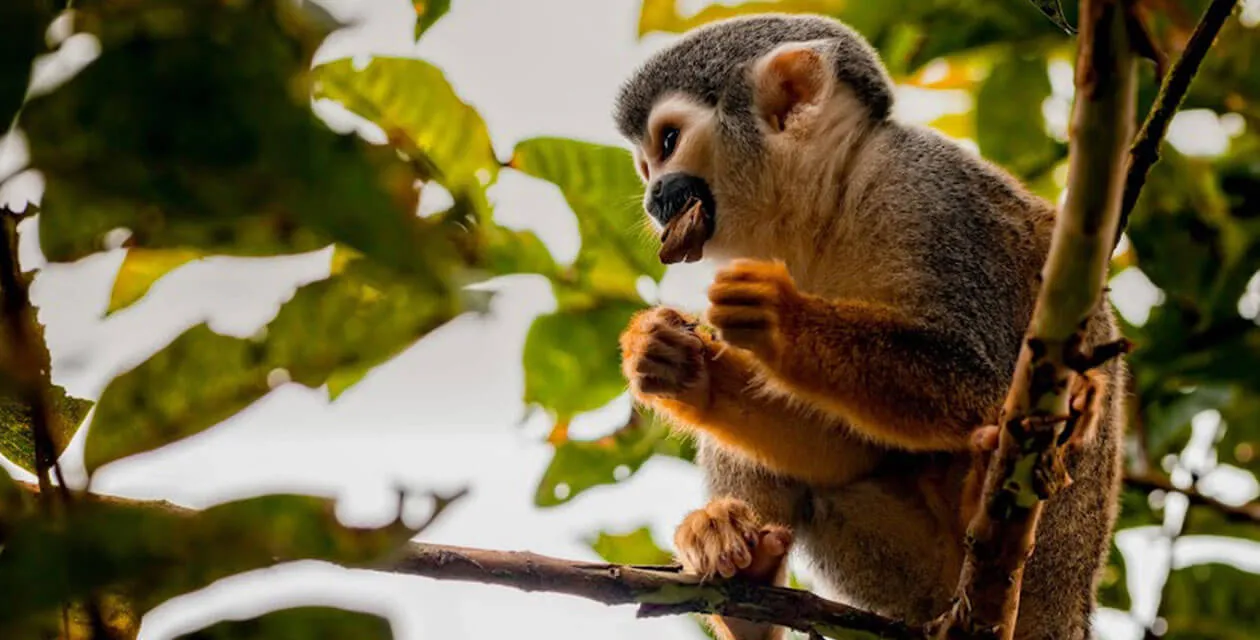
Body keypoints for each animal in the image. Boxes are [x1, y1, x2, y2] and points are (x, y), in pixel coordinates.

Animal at [612, 14, 1125, 640]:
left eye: (667, 143)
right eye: (645, 165)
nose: (653, 196)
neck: (834, 202)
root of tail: (1068, 610)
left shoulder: (932, 197)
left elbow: (984, 384)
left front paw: (782, 320)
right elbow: (841, 452)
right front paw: (682, 368)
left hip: (1052, 558)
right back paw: (746, 583)